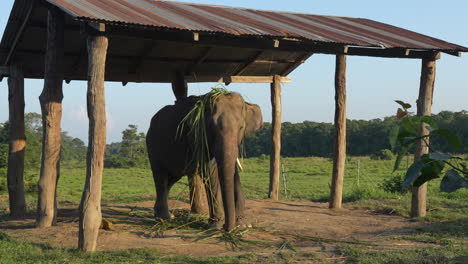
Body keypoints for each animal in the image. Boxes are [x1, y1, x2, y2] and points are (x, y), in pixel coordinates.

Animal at [146, 91, 264, 231]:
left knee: (171, 180)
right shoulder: (197, 137)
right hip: (153, 146)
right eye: (211, 128)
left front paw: (244, 224)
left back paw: (164, 216)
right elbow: (209, 171)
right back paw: (165, 219)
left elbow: (233, 172)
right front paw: (216, 225)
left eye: (241, 128)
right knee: (161, 177)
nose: (227, 229)